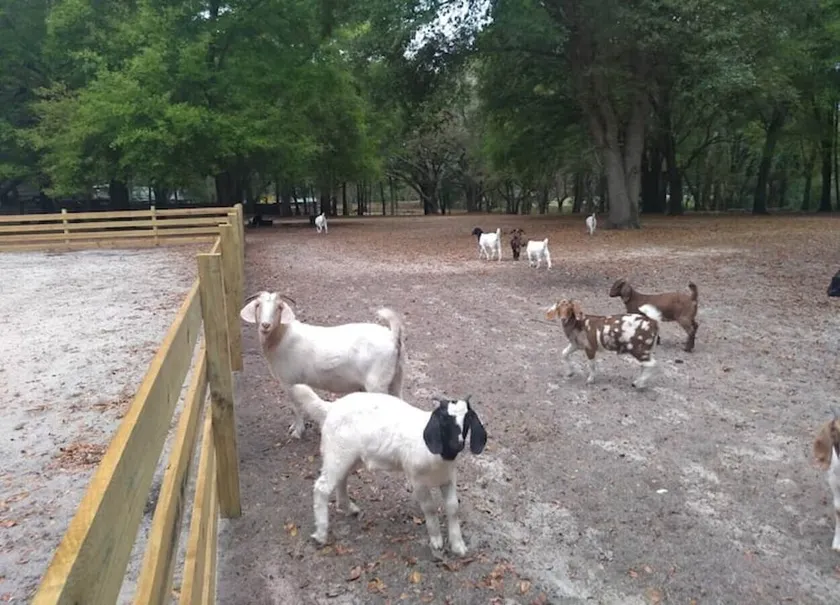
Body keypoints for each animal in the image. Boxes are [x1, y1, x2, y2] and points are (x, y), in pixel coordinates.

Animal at [240, 292, 405, 438]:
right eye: (258, 305)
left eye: (279, 307)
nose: (265, 325)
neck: (281, 337)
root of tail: (392, 337)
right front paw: (294, 427)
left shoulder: (289, 381)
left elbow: (296, 408)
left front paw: (297, 431)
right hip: (395, 378)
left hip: (377, 383)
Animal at [291, 385, 487, 556]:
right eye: (444, 420)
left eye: (467, 420)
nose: (458, 444)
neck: (438, 454)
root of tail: (331, 407)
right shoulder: (417, 479)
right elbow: (430, 508)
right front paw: (436, 540)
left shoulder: (448, 478)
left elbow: (453, 508)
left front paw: (458, 545)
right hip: (336, 452)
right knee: (322, 487)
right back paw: (321, 533)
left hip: (350, 457)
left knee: (341, 478)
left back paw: (348, 507)